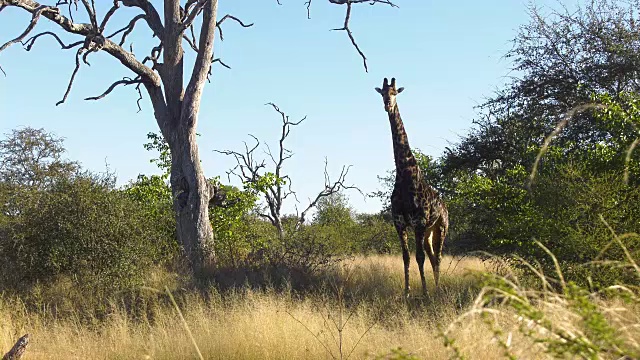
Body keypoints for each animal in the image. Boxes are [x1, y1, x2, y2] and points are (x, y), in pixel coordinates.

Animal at [372, 77, 448, 296]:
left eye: (395, 92)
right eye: (382, 93)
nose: (387, 104)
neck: (405, 172)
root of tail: (445, 206)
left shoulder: (419, 221)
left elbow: (418, 257)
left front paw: (425, 293)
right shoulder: (400, 223)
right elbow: (406, 257)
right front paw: (406, 292)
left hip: (441, 227)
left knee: (438, 256)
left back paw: (437, 289)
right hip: (428, 232)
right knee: (433, 256)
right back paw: (436, 286)